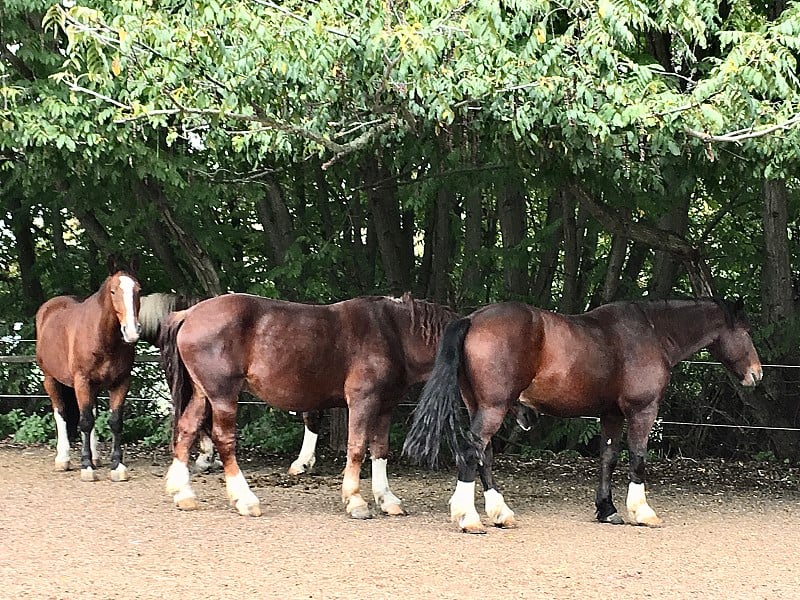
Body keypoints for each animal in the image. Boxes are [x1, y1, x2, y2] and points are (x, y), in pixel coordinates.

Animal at [35, 258, 143, 482]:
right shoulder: (82, 381)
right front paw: (86, 466)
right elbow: (85, 421)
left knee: (90, 412)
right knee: (61, 413)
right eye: (113, 291)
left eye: (138, 290)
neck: (103, 339)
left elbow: (114, 421)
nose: (131, 331)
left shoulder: (121, 382)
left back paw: (95, 456)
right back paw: (64, 458)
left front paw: (117, 466)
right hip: (50, 379)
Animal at [159, 292, 456, 516]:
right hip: (222, 395)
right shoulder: (363, 400)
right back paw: (245, 499)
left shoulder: (385, 406)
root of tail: (189, 314)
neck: (393, 332)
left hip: (202, 394)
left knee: (187, 428)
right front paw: (355, 500)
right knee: (224, 439)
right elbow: (357, 447)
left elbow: (380, 449)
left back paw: (183, 494)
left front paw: (387, 499)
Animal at [404, 300, 764, 536]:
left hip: (479, 405)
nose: (756, 374)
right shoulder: (642, 410)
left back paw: (500, 514)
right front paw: (642, 511)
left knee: (484, 456)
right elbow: (638, 458)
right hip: (494, 407)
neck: (651, 332)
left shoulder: (611, 414)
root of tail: (473, 318)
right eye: (746, 332)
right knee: (471, 452)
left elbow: (608, 457)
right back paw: (469, 518)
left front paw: (608, 509)